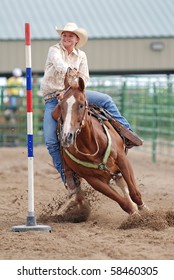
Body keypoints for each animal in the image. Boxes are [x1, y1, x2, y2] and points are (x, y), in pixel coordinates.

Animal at [52, 76, 147, 214]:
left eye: (81, 105)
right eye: (61, 106)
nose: (66, 136)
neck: (90, 146)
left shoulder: (122, 160)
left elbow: (135, 193)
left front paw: (146, 213)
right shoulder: (94, 180)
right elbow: (124, 203)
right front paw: (134, 213)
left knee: (123, 184)